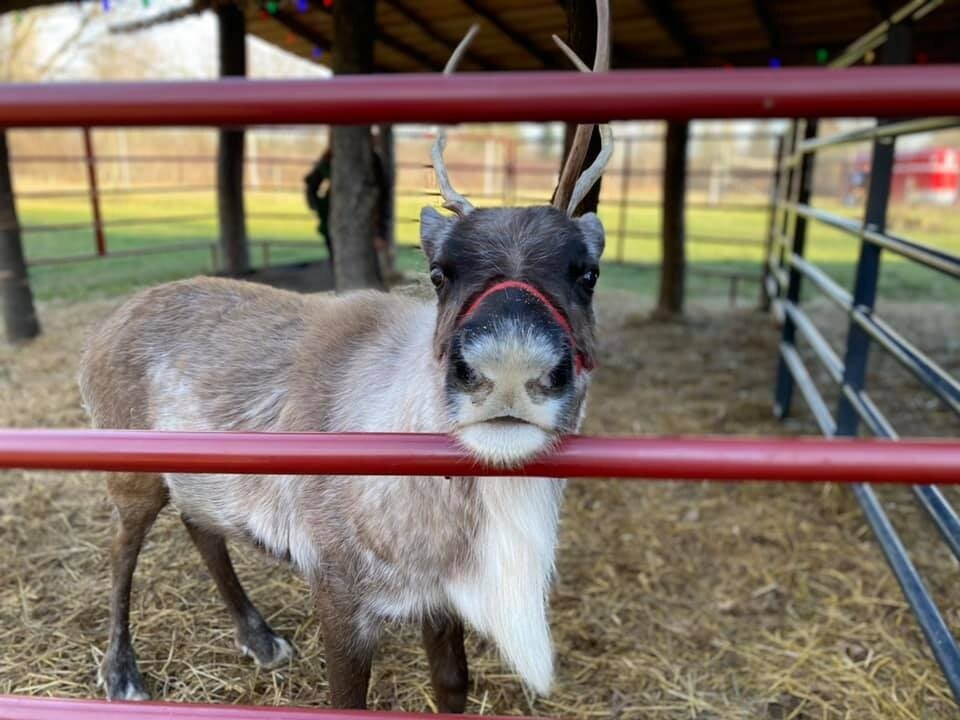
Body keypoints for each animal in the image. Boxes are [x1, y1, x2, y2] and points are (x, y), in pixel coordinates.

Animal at [78, 3, 611, 712]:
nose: (510, 371)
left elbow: (451, 685)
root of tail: (102, 329)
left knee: (202, 526)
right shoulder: (338, 589)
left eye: (587, 272)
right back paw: (122, 671)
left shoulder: (437, 601)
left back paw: (260, 638)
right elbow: (348, 696)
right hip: (131, 474)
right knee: (120, 549)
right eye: (439, 272)